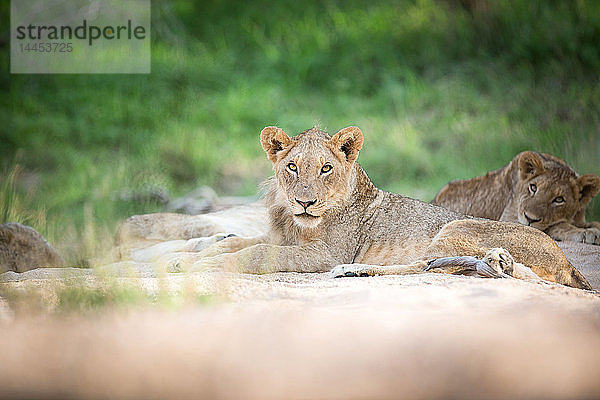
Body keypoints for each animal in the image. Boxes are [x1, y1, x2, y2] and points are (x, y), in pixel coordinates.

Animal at [432, 152, 600, 245]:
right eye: (533, 187)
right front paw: (588, 233)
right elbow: (556, 226)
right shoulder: (508, 220)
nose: (530, 219)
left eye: (559, 199)